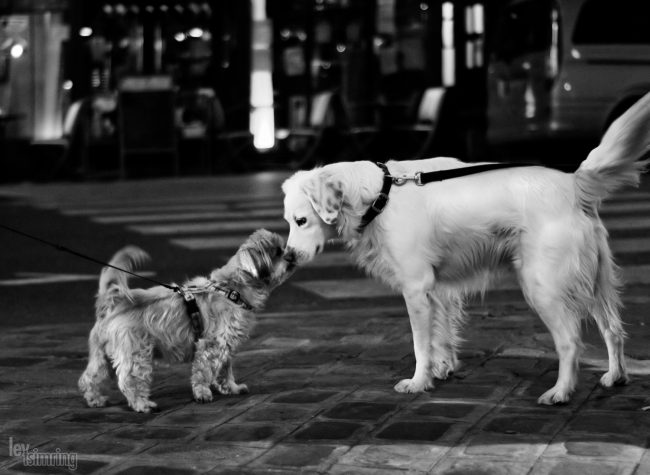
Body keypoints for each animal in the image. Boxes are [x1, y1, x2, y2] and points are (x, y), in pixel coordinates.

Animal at [282, 91, 648, 404]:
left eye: (301, 221)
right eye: (287, 221)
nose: (286, 257)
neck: (381, 194)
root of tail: (573, 184)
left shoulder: (416, 287)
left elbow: (421, 344)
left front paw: (418, 382)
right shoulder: (438, 289)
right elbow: (441, 336)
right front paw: (442, 369)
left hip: (542, 285)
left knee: (571, 342)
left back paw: (560, 392)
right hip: (594, 281)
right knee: (613, 330)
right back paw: (615, 376)